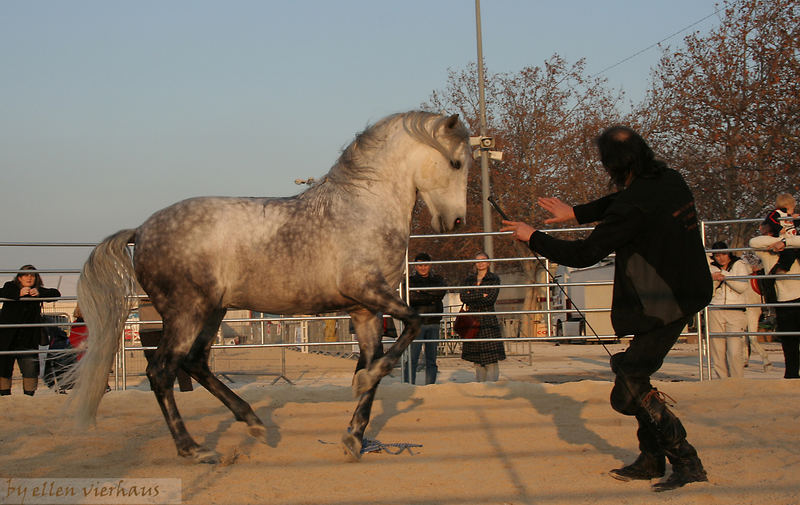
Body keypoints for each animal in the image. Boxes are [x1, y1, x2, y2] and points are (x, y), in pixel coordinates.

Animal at [72, 112, 472, 462]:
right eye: (456, 164)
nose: (455, 221)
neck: (364, 208)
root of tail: (141, 230)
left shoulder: (365, 311)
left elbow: (378, 361)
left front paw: (353, 437)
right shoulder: (368, 291)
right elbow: (413, 324)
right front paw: (360, 384)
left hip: (213, 311)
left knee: (195, 362)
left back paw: (252, 422)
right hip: (187, 312)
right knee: (162, 371)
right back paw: (193, 449)